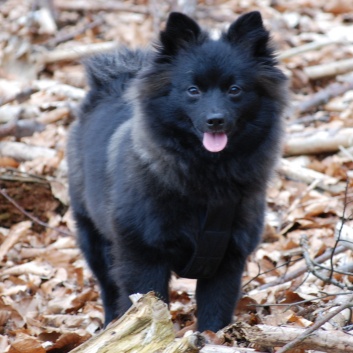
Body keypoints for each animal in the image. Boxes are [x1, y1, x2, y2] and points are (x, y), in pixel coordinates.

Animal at [67, 11, 288, 330]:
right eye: (193, 91)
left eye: (234, 90)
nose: (215, 120)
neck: (208, 177)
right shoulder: (143, 257)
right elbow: (148, 308)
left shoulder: (228, 261)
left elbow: (214, 313)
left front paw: (211, 338)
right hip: (93, 238)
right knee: (108, 289)